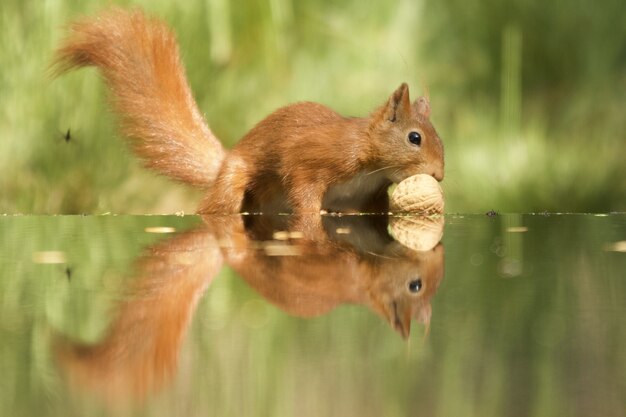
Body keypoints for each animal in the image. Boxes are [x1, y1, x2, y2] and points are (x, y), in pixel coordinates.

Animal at [53, 8, 444, 214]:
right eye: (414, 138)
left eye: (439, 139)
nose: (439, 176)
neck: (367, 158)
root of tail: (225, 163)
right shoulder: (313, 159)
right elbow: (303, 191)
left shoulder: (367, 199)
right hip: (235, 184)